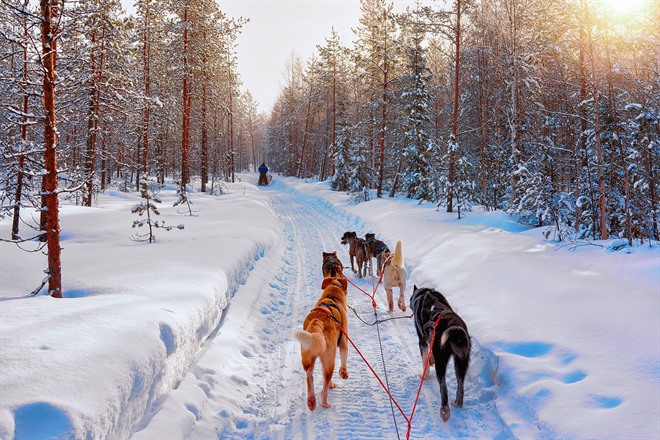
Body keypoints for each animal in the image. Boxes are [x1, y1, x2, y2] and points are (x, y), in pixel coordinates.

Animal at [292, 276, 348, 410]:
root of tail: (318, 321)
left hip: (307, 357)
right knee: (324, 388)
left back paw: (311, 401)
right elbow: (344, 357)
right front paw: (343, 373)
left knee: (309, 376)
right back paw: (325, 403)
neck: (332, 296)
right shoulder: (343, 341)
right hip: (329, 361)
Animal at [410, 286, 472, 422]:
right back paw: (457, 403)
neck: (423, 293)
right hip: (461, 361)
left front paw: (425, 375)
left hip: (441, 362)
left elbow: (425, 361)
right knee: (460, 386)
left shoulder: (422, 341)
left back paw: (445, 411)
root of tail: (454, 326)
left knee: (443, 388)